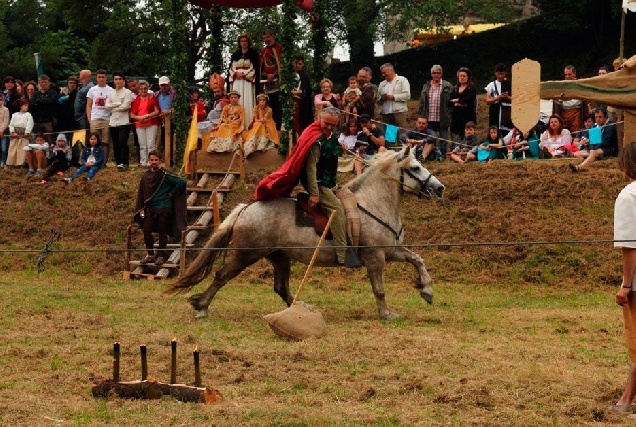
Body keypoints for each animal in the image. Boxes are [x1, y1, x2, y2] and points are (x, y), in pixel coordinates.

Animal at [169, 145, 448, 320]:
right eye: (415, 168)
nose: (439, 188)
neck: (373, 204)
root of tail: (247, 207)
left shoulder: (392, 252)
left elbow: (418, 259)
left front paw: (427, 290)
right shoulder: (375, 258)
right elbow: (379, 289)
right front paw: (387, 314)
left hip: (279, 256)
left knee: (280, 287)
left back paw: (297, 312)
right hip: (245, 254)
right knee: (221, 276)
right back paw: (202, 306)